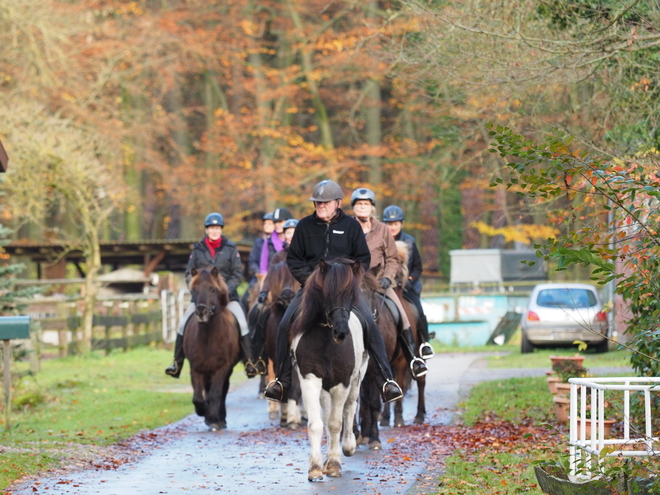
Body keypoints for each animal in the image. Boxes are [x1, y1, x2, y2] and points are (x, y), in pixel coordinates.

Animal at [183, 268, 240, 430]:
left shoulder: (222, 367)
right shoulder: (196, 367)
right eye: (194, 290)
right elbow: (197, 397)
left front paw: (214, 419)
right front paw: (204, 412)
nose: (201, 313)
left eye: (213, 289)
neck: (208, 338)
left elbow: (216, 393)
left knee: (223, 390)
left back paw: (221, 419)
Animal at [290, 258, 368, 482]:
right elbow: (317, 424)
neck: (326, 341)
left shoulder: (342, 382)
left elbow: (335, 423)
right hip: (325, 386)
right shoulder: (310, 378)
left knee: (350, 407)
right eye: (326, 292)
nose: (341, 332)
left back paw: (349, 446)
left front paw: (334, 464)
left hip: (357, 378)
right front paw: (315, 468)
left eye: (351, 294)